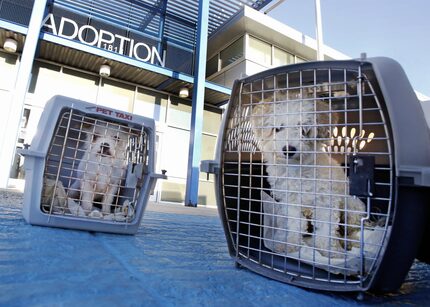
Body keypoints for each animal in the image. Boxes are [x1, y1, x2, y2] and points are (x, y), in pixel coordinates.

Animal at [252, 100, 366, 258]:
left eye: (303, 130)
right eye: (278, 129)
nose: (289, 149)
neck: (298, 169)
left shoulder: (326, 202)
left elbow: (326, 229)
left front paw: (330, 252)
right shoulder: (291, 202)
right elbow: (295, 224)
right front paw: (291, 244)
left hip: (352, 207)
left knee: (352, 229)